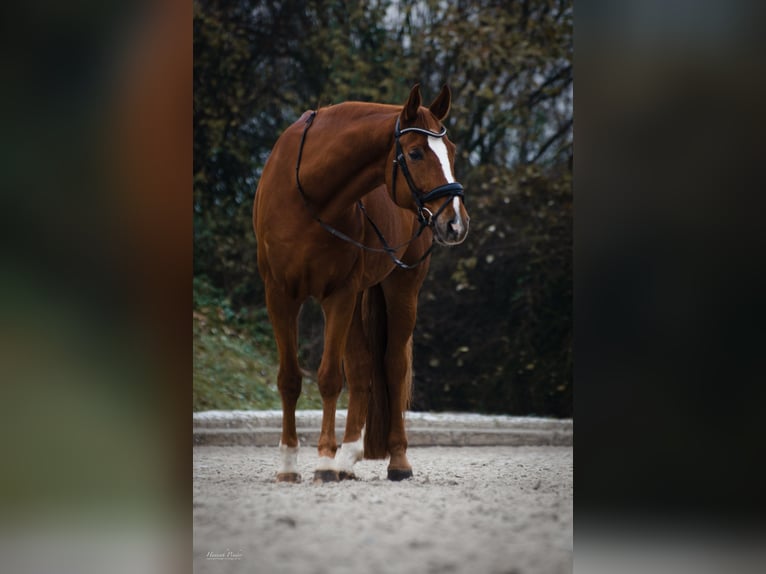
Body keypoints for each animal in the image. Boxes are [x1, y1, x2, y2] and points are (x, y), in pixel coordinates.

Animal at [254, 84, 468, 482]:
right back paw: (348, 457)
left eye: (451, 151)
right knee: (361, 365)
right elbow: (290, 378)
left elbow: (329, 378)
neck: (309, 194)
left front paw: (323, 461)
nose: (456, 223)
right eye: (415, 153)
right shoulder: (280, 295)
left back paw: (394, 460)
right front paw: (289, 465)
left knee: (392, 365)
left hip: (401, 287)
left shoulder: (339, 294)